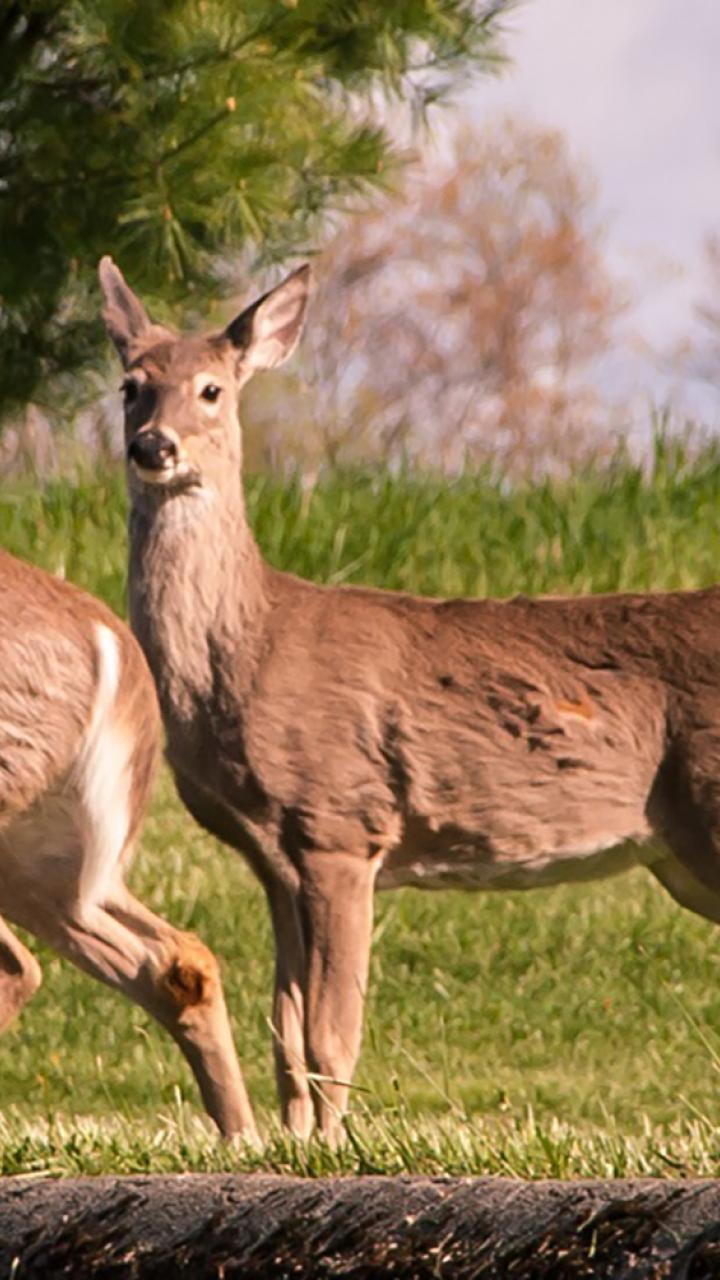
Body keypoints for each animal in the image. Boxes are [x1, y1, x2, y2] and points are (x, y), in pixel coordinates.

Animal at [99, 256, 720, 1144]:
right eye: (131, 385)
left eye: (212, 389)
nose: (153, 445)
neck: (251, 646)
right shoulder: (273, 856)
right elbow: (285, 1027)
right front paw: (295, 1142)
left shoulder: (340, 822)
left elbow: (332, 1029)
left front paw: (331, 1143)